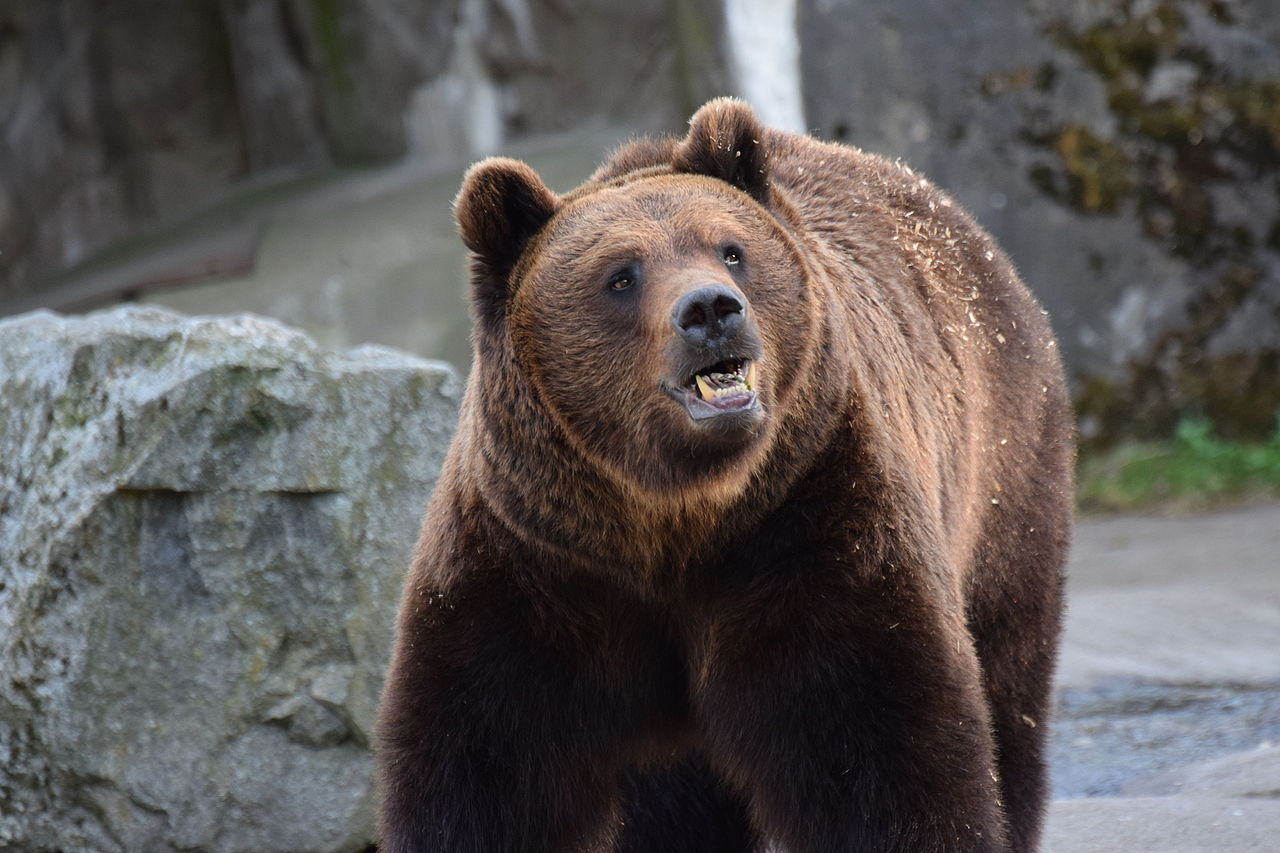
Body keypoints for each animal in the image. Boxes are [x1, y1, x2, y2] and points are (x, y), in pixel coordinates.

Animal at [376, 98, 1074, 853]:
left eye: (730, 249)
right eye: (621, 275)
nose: (712, 309)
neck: (668, 520)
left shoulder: (807, 521)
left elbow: (881, 741)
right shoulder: (531, 560)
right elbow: (482, 762)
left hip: (1001, 481)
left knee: (1008, 685)